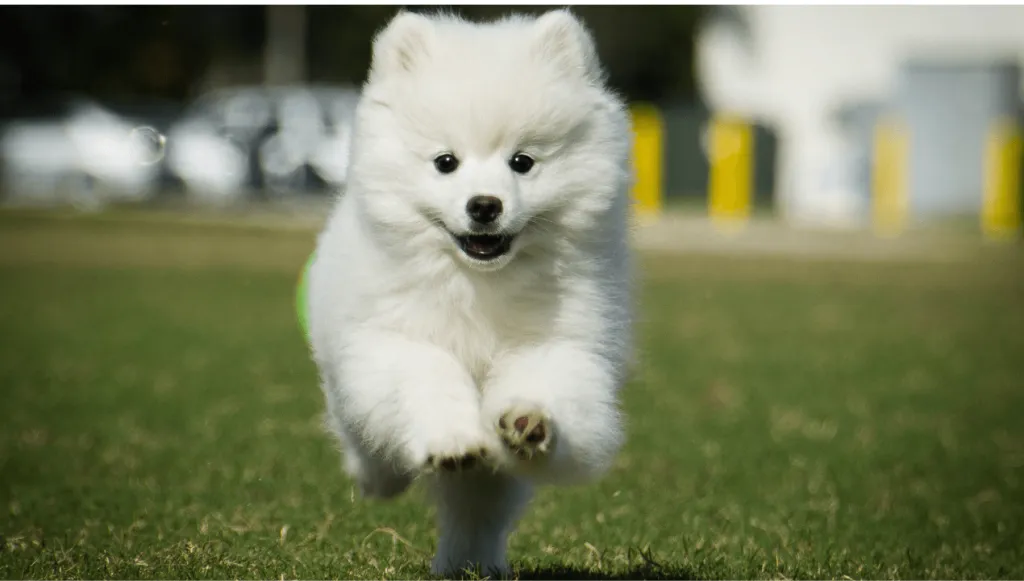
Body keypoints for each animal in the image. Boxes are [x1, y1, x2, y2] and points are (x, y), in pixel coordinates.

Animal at [305, 7, 630, 577]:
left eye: (522, 162)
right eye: (445, 162)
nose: (484, 205)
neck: (479, 283)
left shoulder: (560, 343)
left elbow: (546, 387)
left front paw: (528, 421)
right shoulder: (394, 339)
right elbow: (428, 378)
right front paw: (453, 439)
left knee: (476, 510)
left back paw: (469, 562)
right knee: (366, 441)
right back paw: (379, 479)